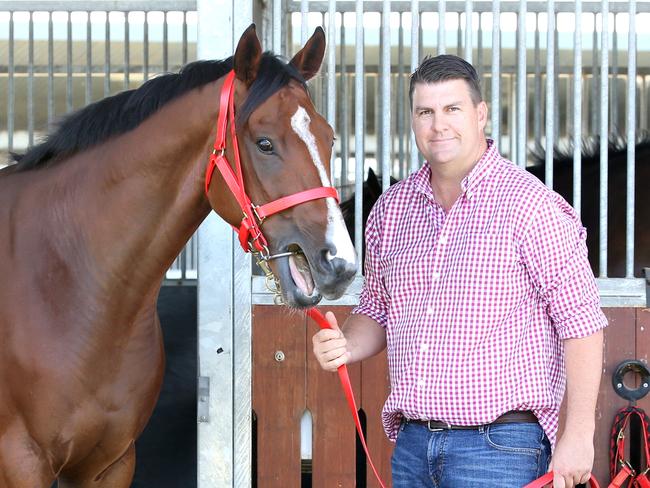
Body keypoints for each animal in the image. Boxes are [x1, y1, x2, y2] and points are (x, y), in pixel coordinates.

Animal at [0, 23, 354, 488]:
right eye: (264, 143)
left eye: (329, 138)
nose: (339, 263)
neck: (63, 281)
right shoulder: (21, 463)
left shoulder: (109, 463)